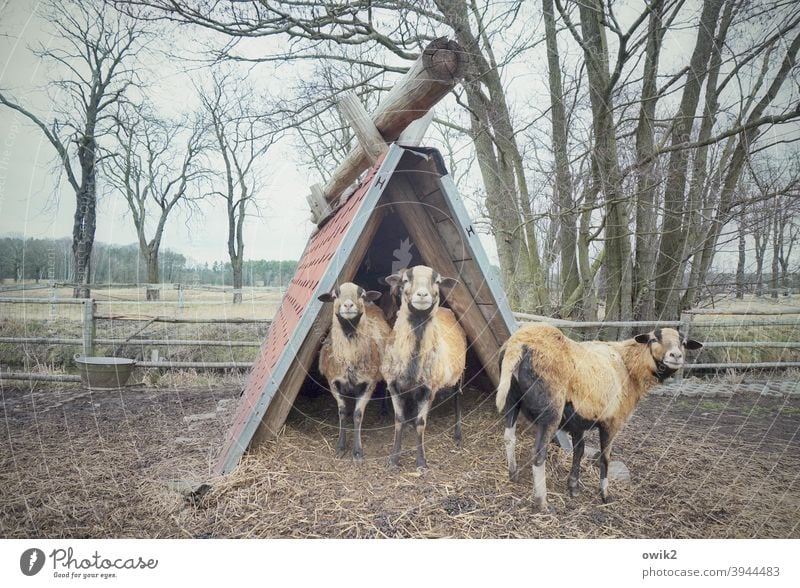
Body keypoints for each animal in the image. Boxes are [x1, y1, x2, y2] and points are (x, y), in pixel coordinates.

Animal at [318, 282, 394, 462]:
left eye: (362, 294)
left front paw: (357, 452)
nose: (348, 305)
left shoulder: (368, 384)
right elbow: (343, 412)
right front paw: (340, 447)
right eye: (335, 295)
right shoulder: (333, 383)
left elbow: (357, 415)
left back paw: (384, 411)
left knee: (386, 388)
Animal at [382, 266, 468, 468]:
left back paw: (458, 435)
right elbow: (399, 421)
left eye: (437, 281)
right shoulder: (393, 386)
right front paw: (393, 460)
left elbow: (421, 423)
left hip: (459, 375)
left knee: (457, 399)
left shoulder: (429, 389)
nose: (422, 295)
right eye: (405, 280)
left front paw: (421, 462)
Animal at [496, 324, 704, 512]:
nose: (675, 356)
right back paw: (543, 503)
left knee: (509, 437)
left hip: (512, 398)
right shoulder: (612, 422)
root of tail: (519, 344)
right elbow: (605, 458)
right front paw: (605, 495)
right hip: (551, 411)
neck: (629, 367)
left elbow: (579, 451)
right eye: (653, 339)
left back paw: (513, 474)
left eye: (683, 343)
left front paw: (573, 487)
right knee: (539, 454)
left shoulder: (577, 422)